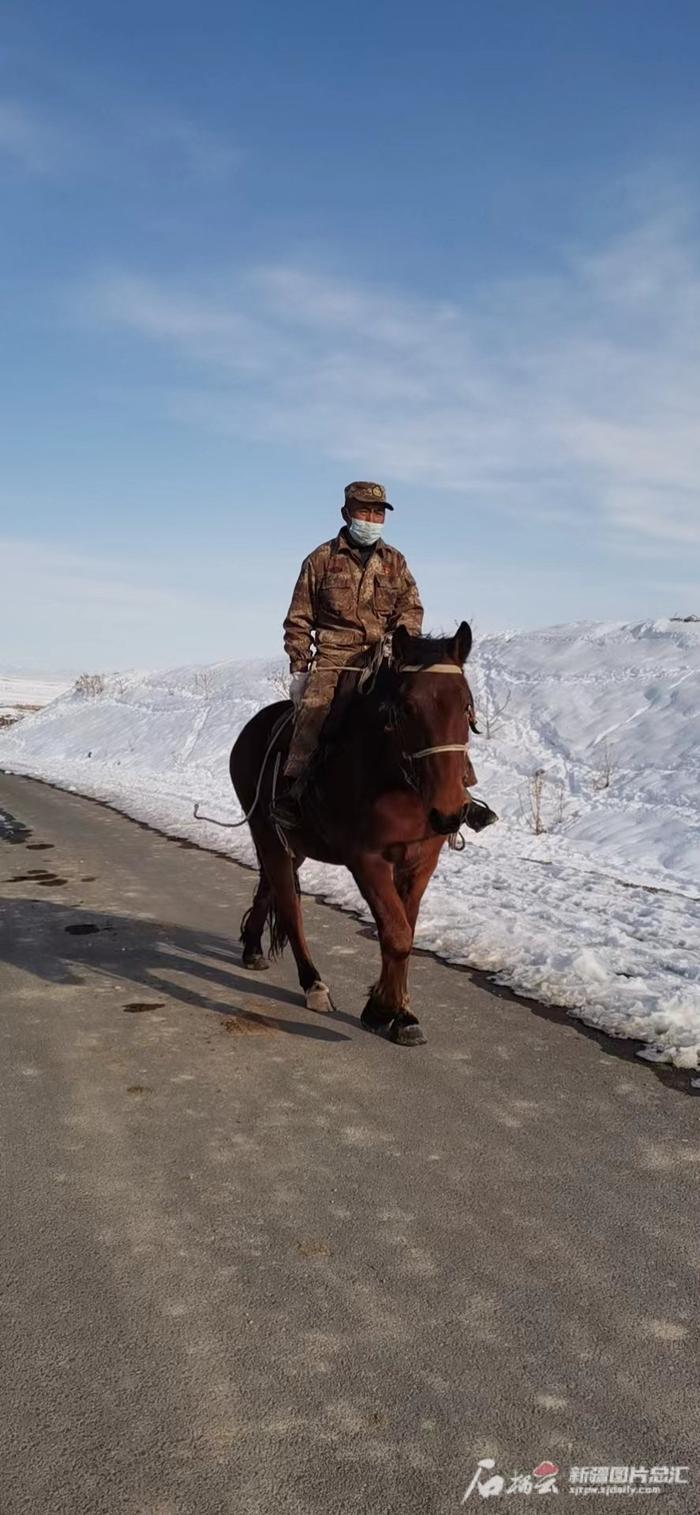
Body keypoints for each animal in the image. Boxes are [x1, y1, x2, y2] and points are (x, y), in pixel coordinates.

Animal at [230, 621, 481, 1048]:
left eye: (465, 704)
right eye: (407, 708)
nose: (449, 811)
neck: (396, 780)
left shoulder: (420, 862)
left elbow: (406, 930)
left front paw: (400, 1012)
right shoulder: (367, 860)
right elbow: (396, 934)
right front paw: (383, 1009)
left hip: (292, 844)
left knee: (268, 887)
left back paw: (252, 948)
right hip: (267, 834)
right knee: (289, 905)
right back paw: (313, 983)